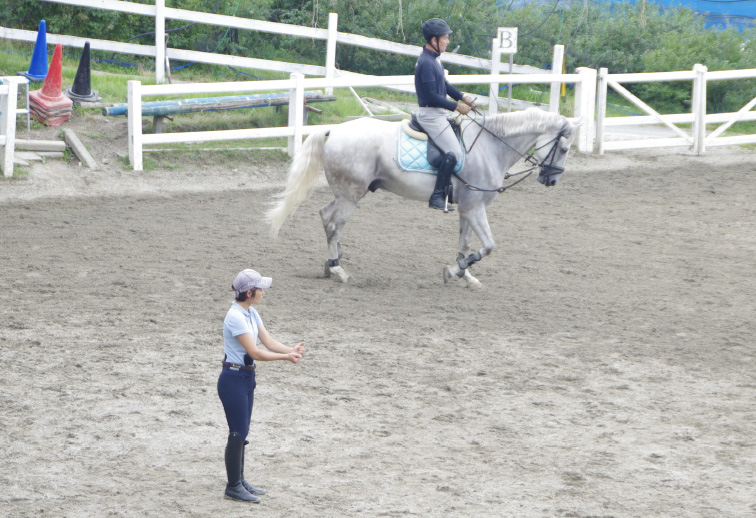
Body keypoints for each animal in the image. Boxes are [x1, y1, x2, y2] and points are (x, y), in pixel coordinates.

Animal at [266, 107, 580, 288]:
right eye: (564, 148)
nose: (551, 180)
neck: (491, 147)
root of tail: (335, 129)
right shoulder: (474, 207)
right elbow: (489, 245)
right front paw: (454, 271)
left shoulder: (468, 207)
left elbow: (465, 243)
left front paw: (463, 273)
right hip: (350, 196)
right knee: (333, 224)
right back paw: (340, 271)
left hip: (348, 193)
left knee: (324, 215)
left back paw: (331, 265)